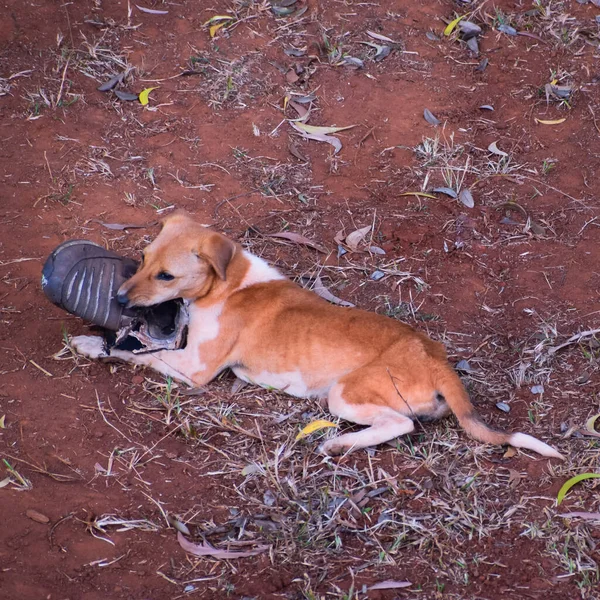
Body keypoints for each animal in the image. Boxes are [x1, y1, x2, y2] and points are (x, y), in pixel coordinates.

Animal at [72, 212, 564, 460]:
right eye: (142, 258)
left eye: (166, 275)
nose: (117, 297)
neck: (230, 282)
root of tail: (435, 359)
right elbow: (146, 344)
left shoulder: (196, 369)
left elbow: (139, 354)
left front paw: (96, 346)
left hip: (344, 394)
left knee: (399, 424)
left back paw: (339, 442)